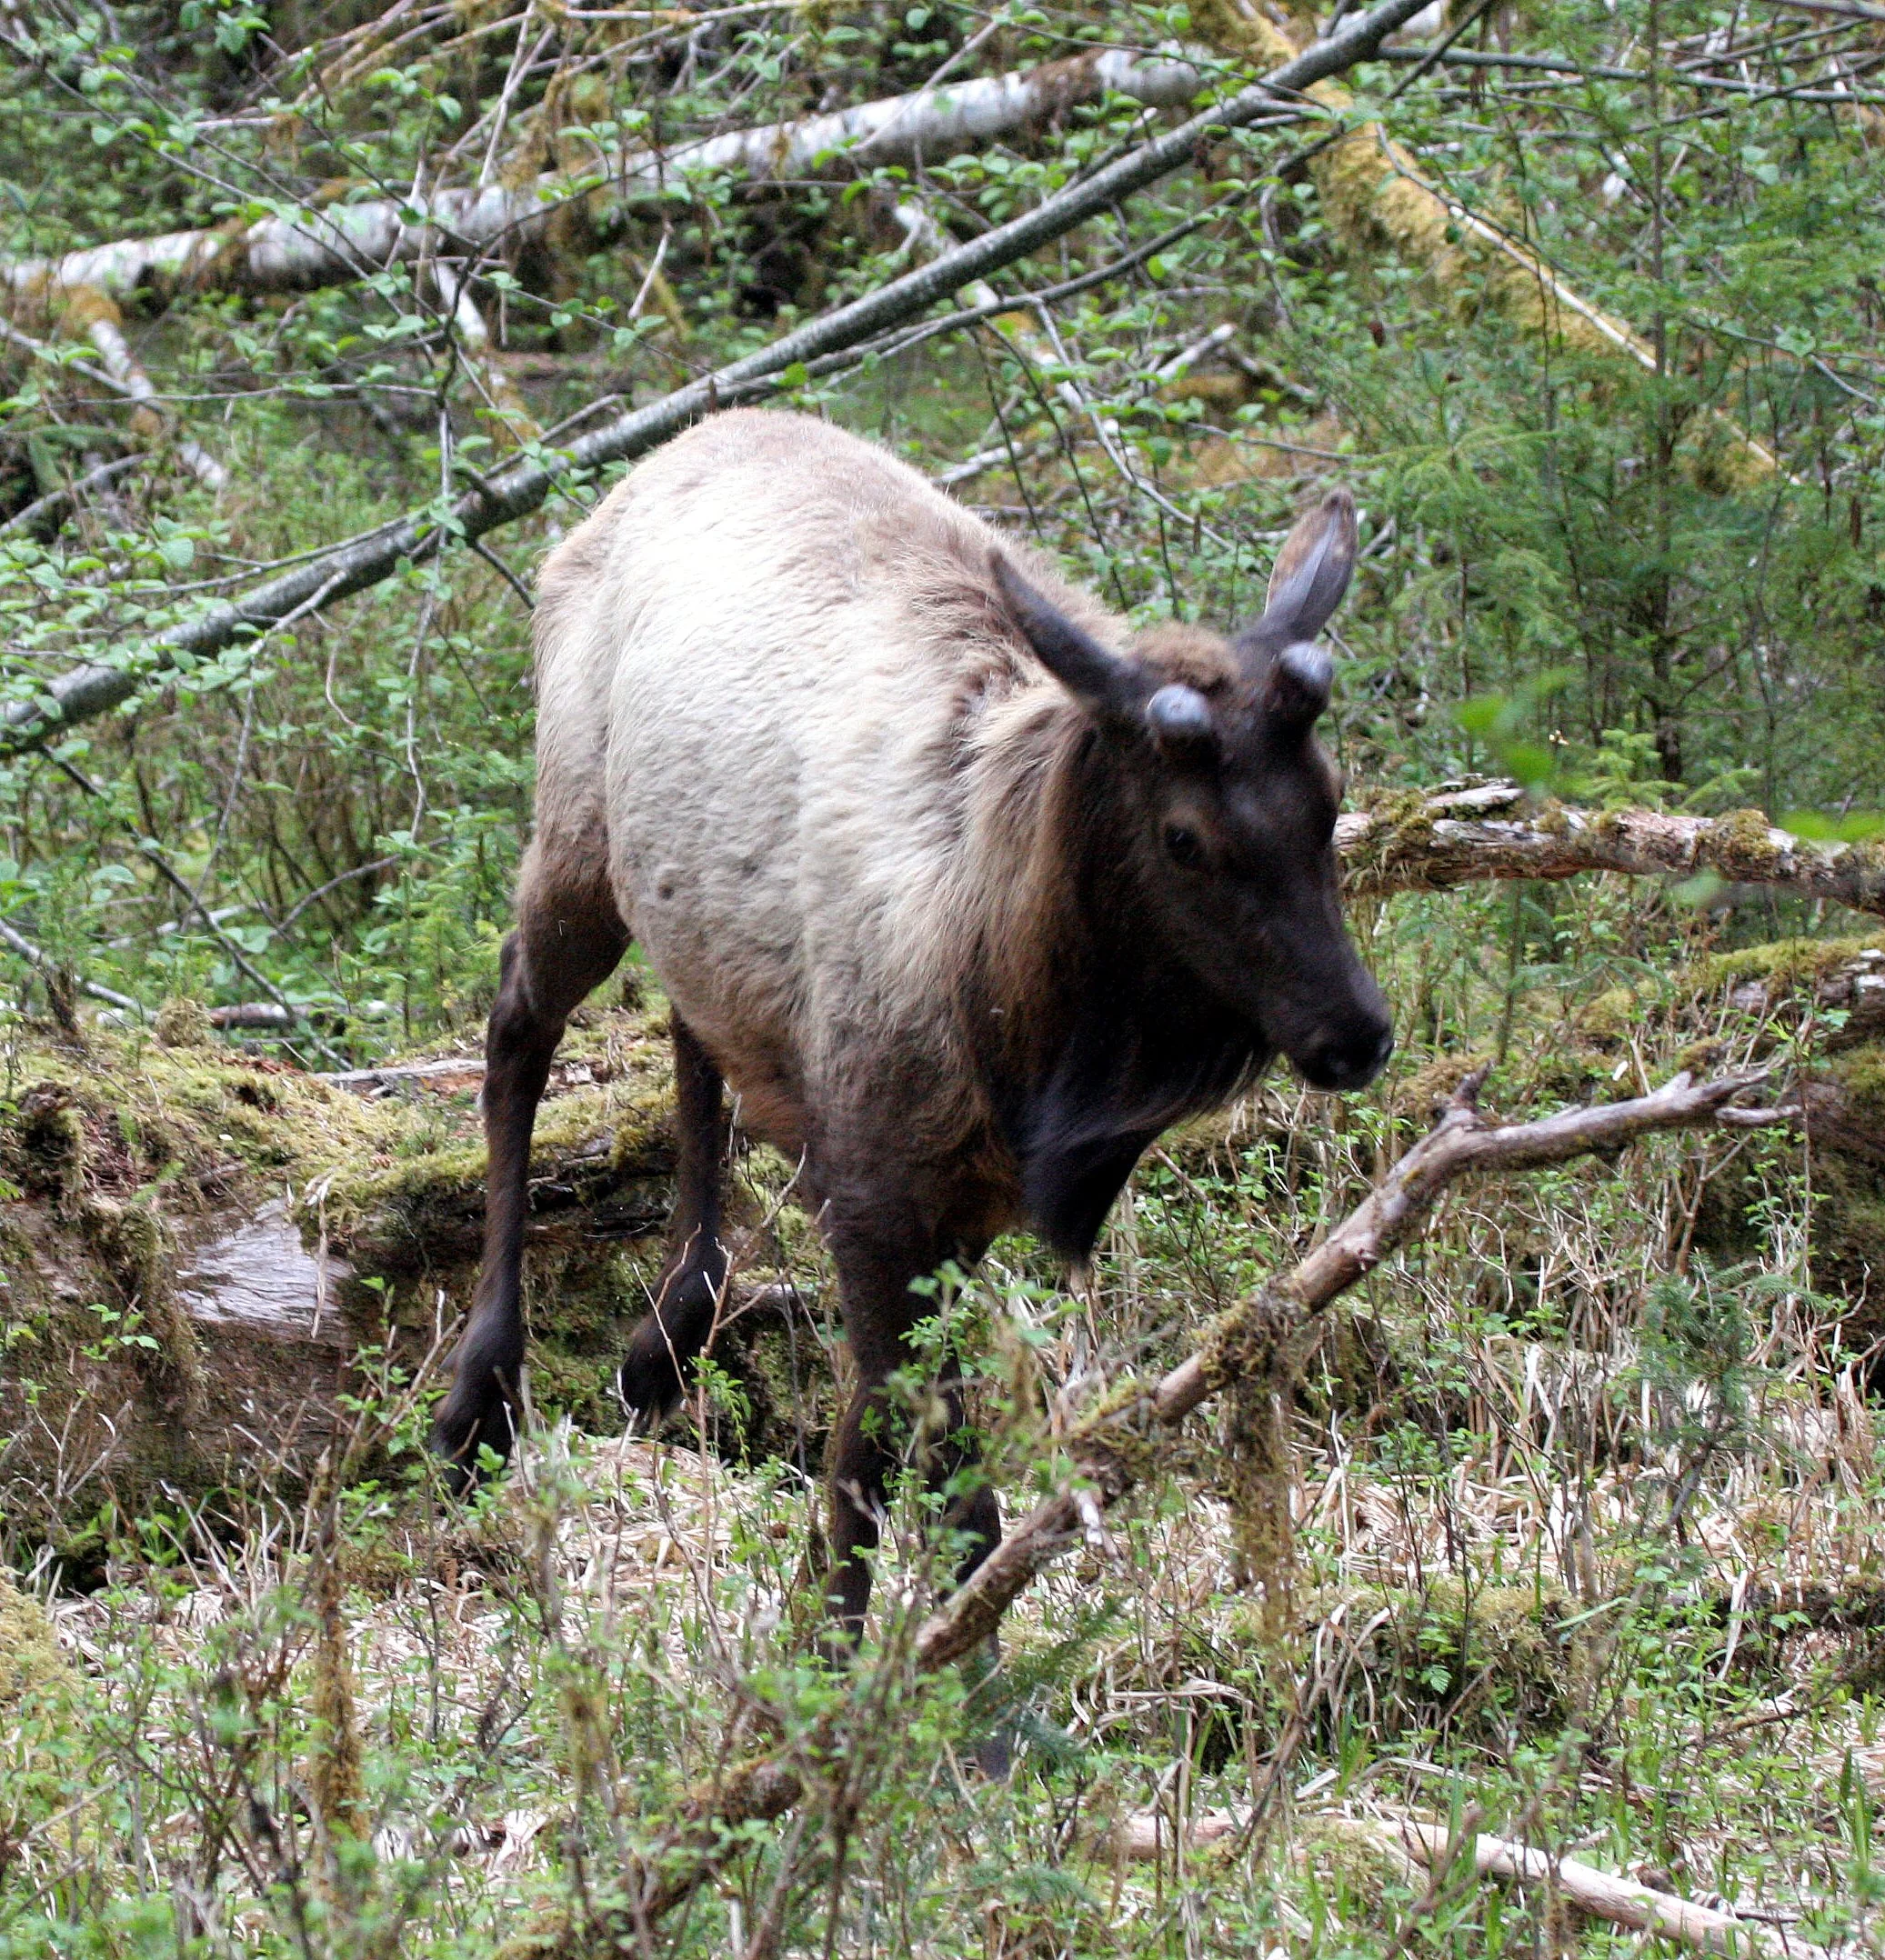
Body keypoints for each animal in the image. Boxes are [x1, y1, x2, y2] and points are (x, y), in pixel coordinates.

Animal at [431, 408, 1393, 1648]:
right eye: (1185, 837)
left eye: (1332, 794)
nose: (1356, 1032)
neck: (1019, 1017)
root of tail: (651, 463)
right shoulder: (877, 1189)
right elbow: (917, 1475)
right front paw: (881, 1660)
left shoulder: (952, 1203)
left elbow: (904, 1459)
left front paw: (857, 1639)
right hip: (574, 840)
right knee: (514, 1027)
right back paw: (481, 1393)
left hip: (695, 916)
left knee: (691, 1033)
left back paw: (673, 1324)